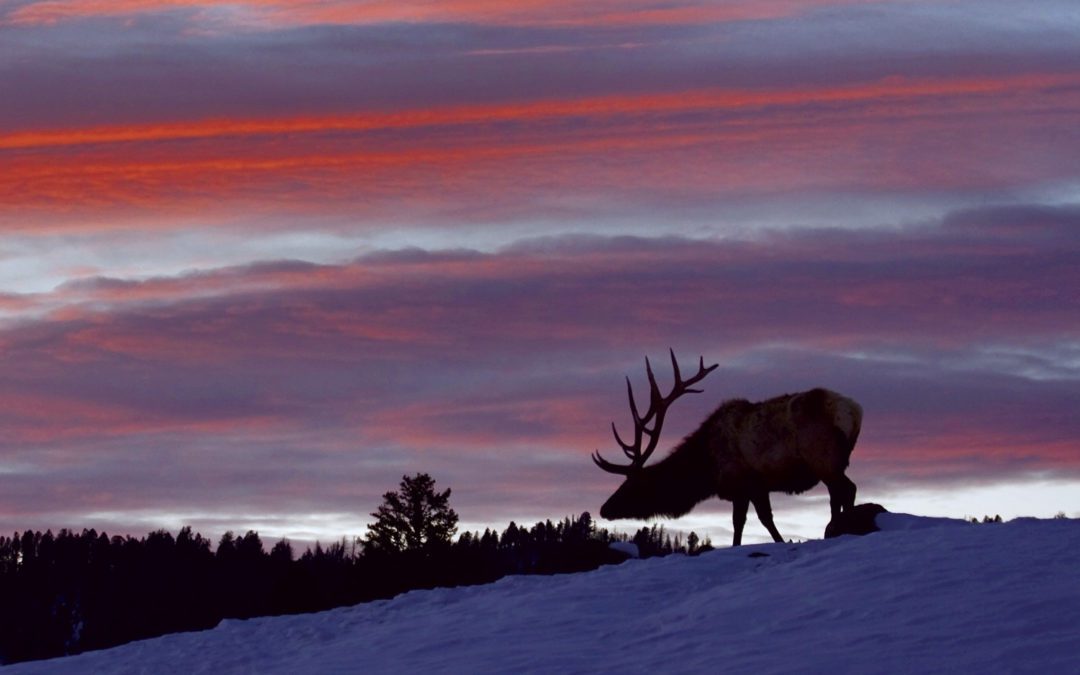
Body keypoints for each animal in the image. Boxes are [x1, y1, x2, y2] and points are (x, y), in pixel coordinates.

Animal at [591, 349, 859, 544]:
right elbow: (754, 521)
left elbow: (751, 522)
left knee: (845, 490)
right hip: (834, 461)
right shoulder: (754, 488)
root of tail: (854, 411)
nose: (604, 509)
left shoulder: (744, 483)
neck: (707, 469)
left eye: (632, 484)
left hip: (824, 457)